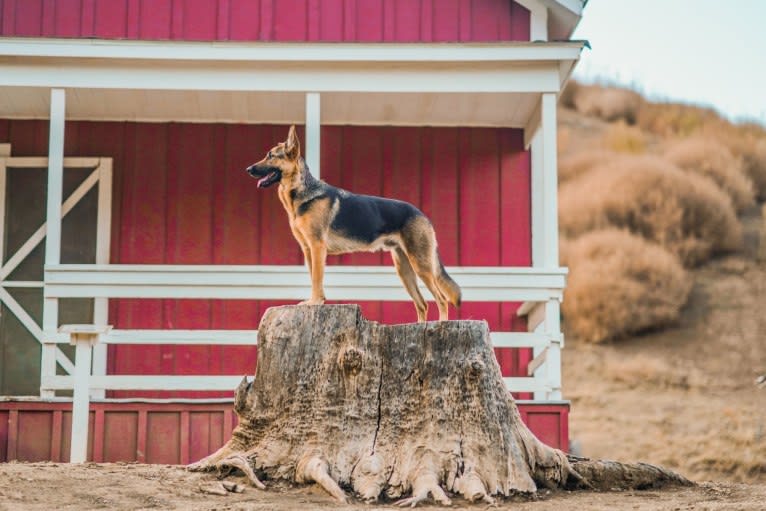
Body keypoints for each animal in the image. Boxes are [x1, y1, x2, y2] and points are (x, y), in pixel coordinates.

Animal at [246, 126, 462, 322]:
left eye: (271, 155)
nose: (248, 169)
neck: (301, 190)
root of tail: (422, 214)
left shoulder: (317, 248)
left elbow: (317, 278)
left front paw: (315, 302)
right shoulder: (308, 249)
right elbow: (312, 277)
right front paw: (313, 301)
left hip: (421, 265)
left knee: (441, 299)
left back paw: (441, 326)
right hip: (404, 269)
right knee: (422, 304)